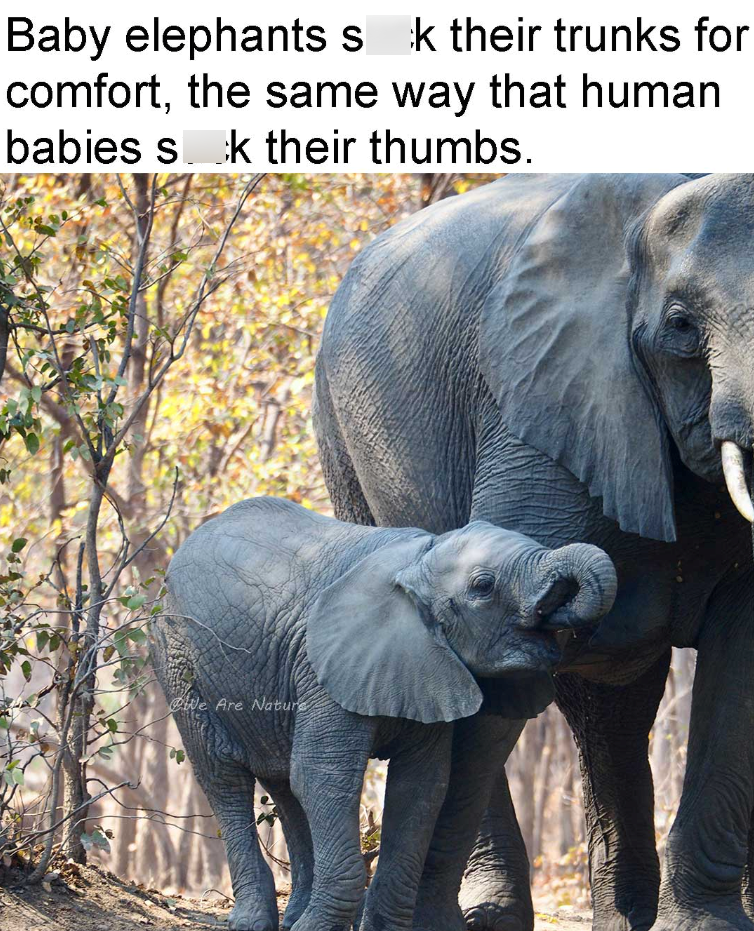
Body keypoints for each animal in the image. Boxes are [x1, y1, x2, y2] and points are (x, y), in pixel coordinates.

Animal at [151, 496, 617, 931]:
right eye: (483, 586)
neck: (420, 560)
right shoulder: (323, 666)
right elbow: (325, 775)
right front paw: (316, 929)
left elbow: (421, 787)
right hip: (177, 656)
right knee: (223, 775)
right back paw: (254, 921)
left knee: (282, 785)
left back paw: (292, 916)